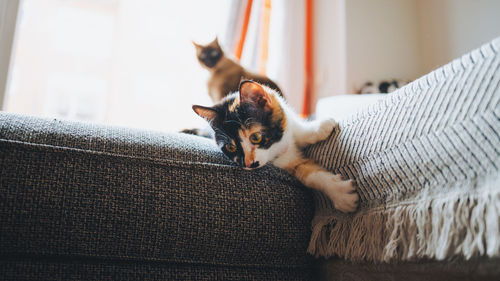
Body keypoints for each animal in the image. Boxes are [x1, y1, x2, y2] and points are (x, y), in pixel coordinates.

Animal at [192, 80, 360, 211]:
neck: (277, 146)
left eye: (255, 137)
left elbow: (296, 128)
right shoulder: (283, 164)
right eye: (231, 147)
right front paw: (341, 194)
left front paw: (318, 128)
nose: (248, 164)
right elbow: (309, 174)